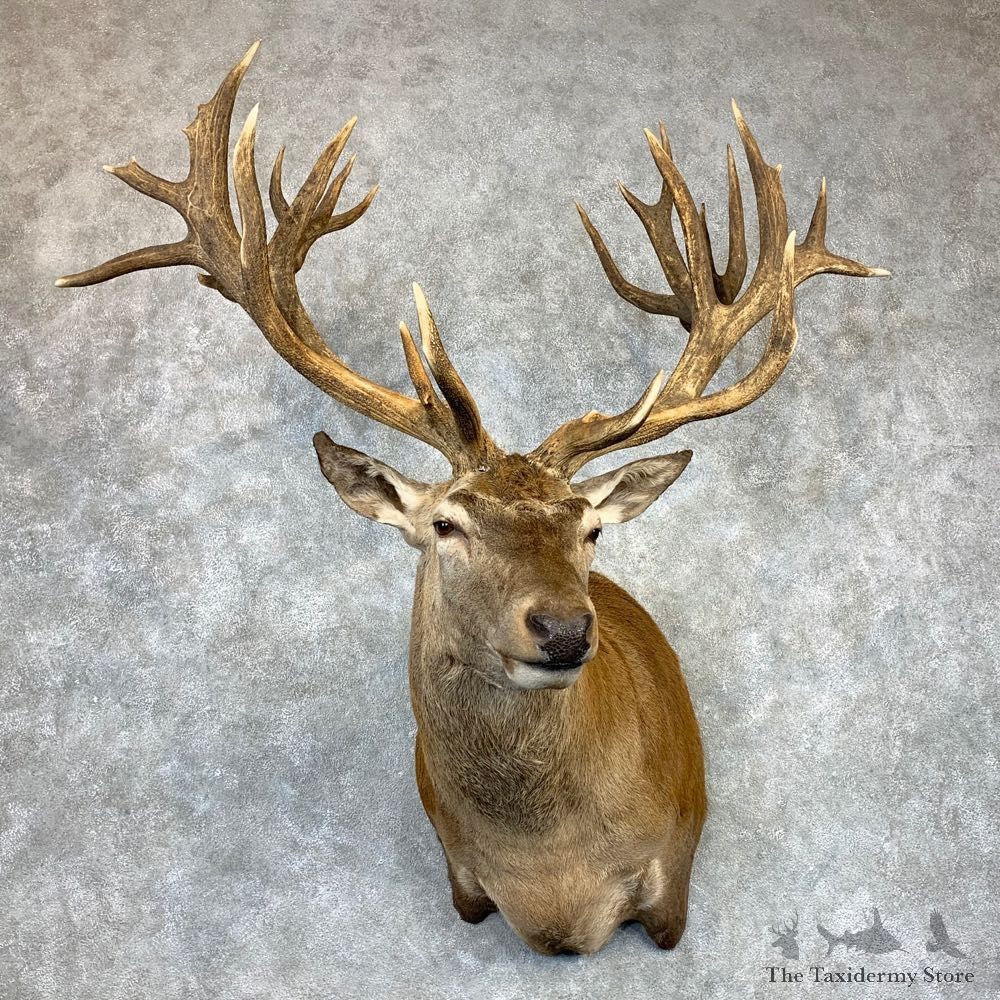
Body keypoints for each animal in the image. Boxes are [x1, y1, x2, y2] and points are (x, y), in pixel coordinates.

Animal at [56, 42, 888, 956]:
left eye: (591, 529)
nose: (563, 629)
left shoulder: (671, 881)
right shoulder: (460, 877)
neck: (556, 886)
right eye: (446, 524)